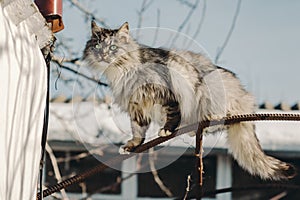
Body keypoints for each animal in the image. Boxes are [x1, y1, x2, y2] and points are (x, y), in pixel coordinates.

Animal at [82, 21, 296, 180]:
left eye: (113, 47)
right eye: (97, 46)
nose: (102, 55)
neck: (120, 73)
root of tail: (246, 98)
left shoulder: (166, 93)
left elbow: (172, 113)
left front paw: (167, 129)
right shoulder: (137, 107)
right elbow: (137, 130)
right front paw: (131, 146)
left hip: (210, 87)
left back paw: (211, 118)